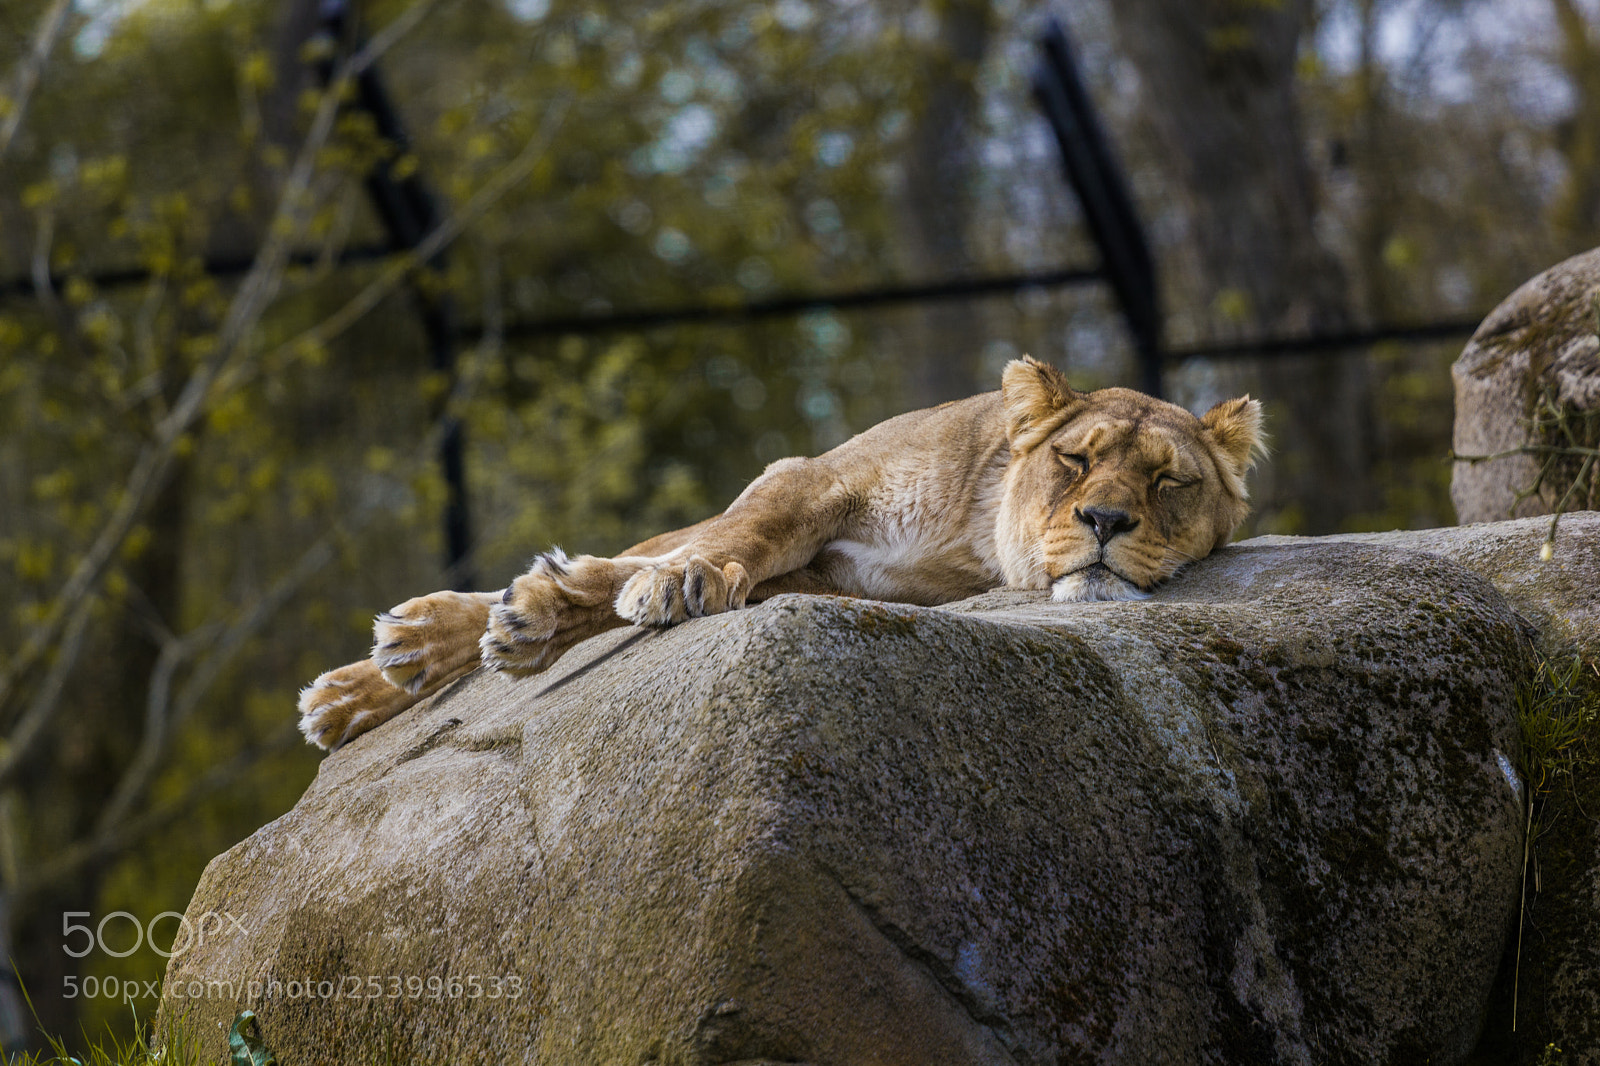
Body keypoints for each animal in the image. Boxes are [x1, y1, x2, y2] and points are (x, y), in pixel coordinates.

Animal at [298, 356, 1263, 750]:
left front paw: (545, 612)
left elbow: (690, 571)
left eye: (1168, 481)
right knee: (647, 546)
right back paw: (383, 667)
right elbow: (727, 540)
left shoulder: (843, 578)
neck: (975, 527)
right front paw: (672, 584)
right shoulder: (810, 477)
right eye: (1074, 460)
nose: (1104, 520)